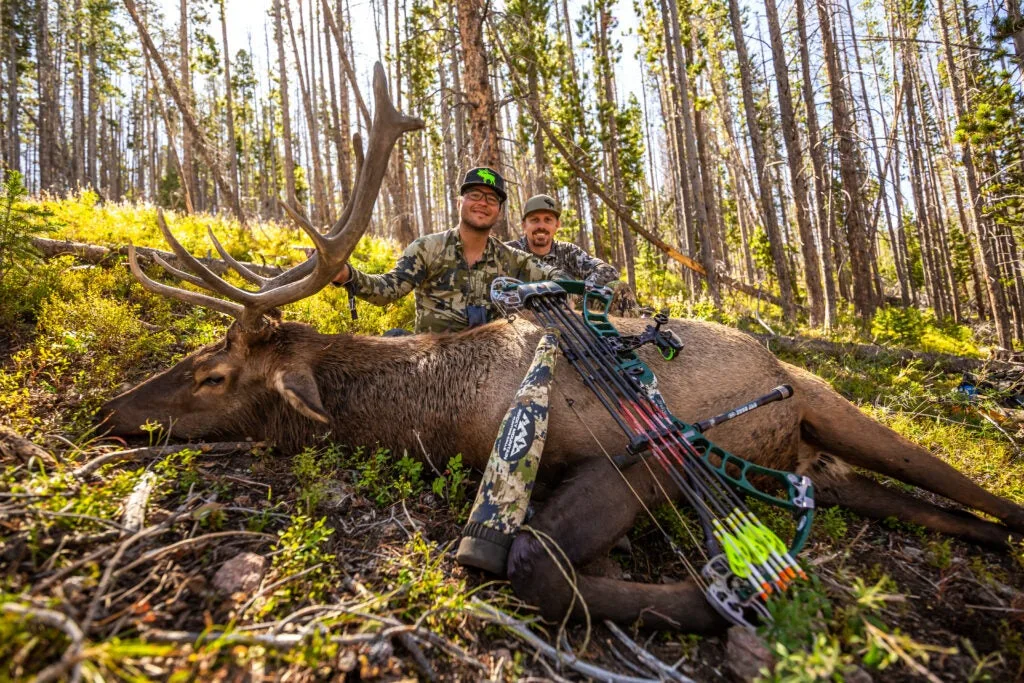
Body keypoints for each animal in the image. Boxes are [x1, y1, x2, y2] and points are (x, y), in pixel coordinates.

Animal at [101, 61, 1024, 634]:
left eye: (213, 374)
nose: (112, 408)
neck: (441, 415)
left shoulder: (640, 457)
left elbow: (532, 563)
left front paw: (711, 598)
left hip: (831, 407)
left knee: (990, 498)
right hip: (825, 472)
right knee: (956, 518)